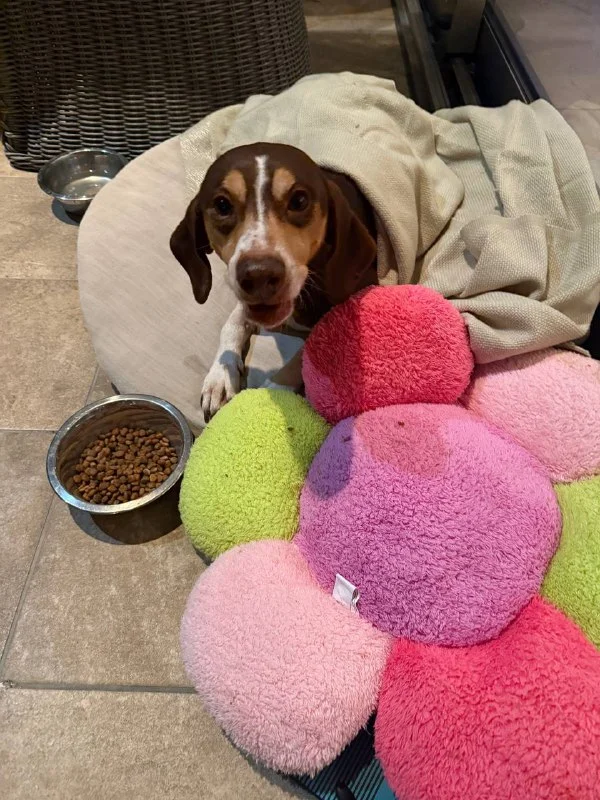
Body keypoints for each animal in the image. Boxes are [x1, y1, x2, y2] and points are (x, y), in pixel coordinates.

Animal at [170, 142, 378, 420]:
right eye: (222, 205)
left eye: (299, 200)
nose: (259, 274)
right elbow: (232, 322)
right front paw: (220, 375)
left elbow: (307, 350)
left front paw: (275, 390)